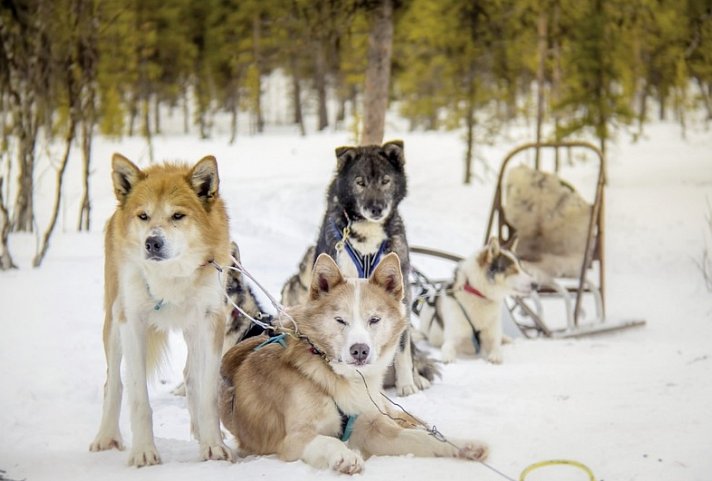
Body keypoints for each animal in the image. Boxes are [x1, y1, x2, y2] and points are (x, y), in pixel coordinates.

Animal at [88, 153, 234, 464]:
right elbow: (138, 397)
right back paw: (106, 436)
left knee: (191, 376)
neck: (171, 277)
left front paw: (213, 447)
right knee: (113, 383)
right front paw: (144, 452)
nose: (152, 242)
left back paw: (201, 433)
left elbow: (207, 394)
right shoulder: (132, 323)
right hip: (113, 322)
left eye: (177, 216)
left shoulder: (210, 321)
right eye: (143, 216)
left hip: (193, 330)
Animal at [221, 253, 490, 474]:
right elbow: (328, 440)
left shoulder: (376, 429)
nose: (360, 350)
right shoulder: (293, 439)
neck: (334, 376)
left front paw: (463, 446)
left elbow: (422, 439)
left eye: (374, 319)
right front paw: (344, 456)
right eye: (340, 320)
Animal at [280, 141, 436, 396]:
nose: (376, 208)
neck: (366, 238)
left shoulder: (401, 295)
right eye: (360, 182)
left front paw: (407, 385)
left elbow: (403, 350)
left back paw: (417, 378)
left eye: (385, 180)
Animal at [414, 236, 532, 364]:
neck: (479, 296)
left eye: (521, 268)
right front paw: (449, 358)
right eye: (513, 269)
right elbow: (448, 349)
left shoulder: (491, 334)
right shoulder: (452, 338)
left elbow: (496, 346)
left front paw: (495, 355)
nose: (535, 285)